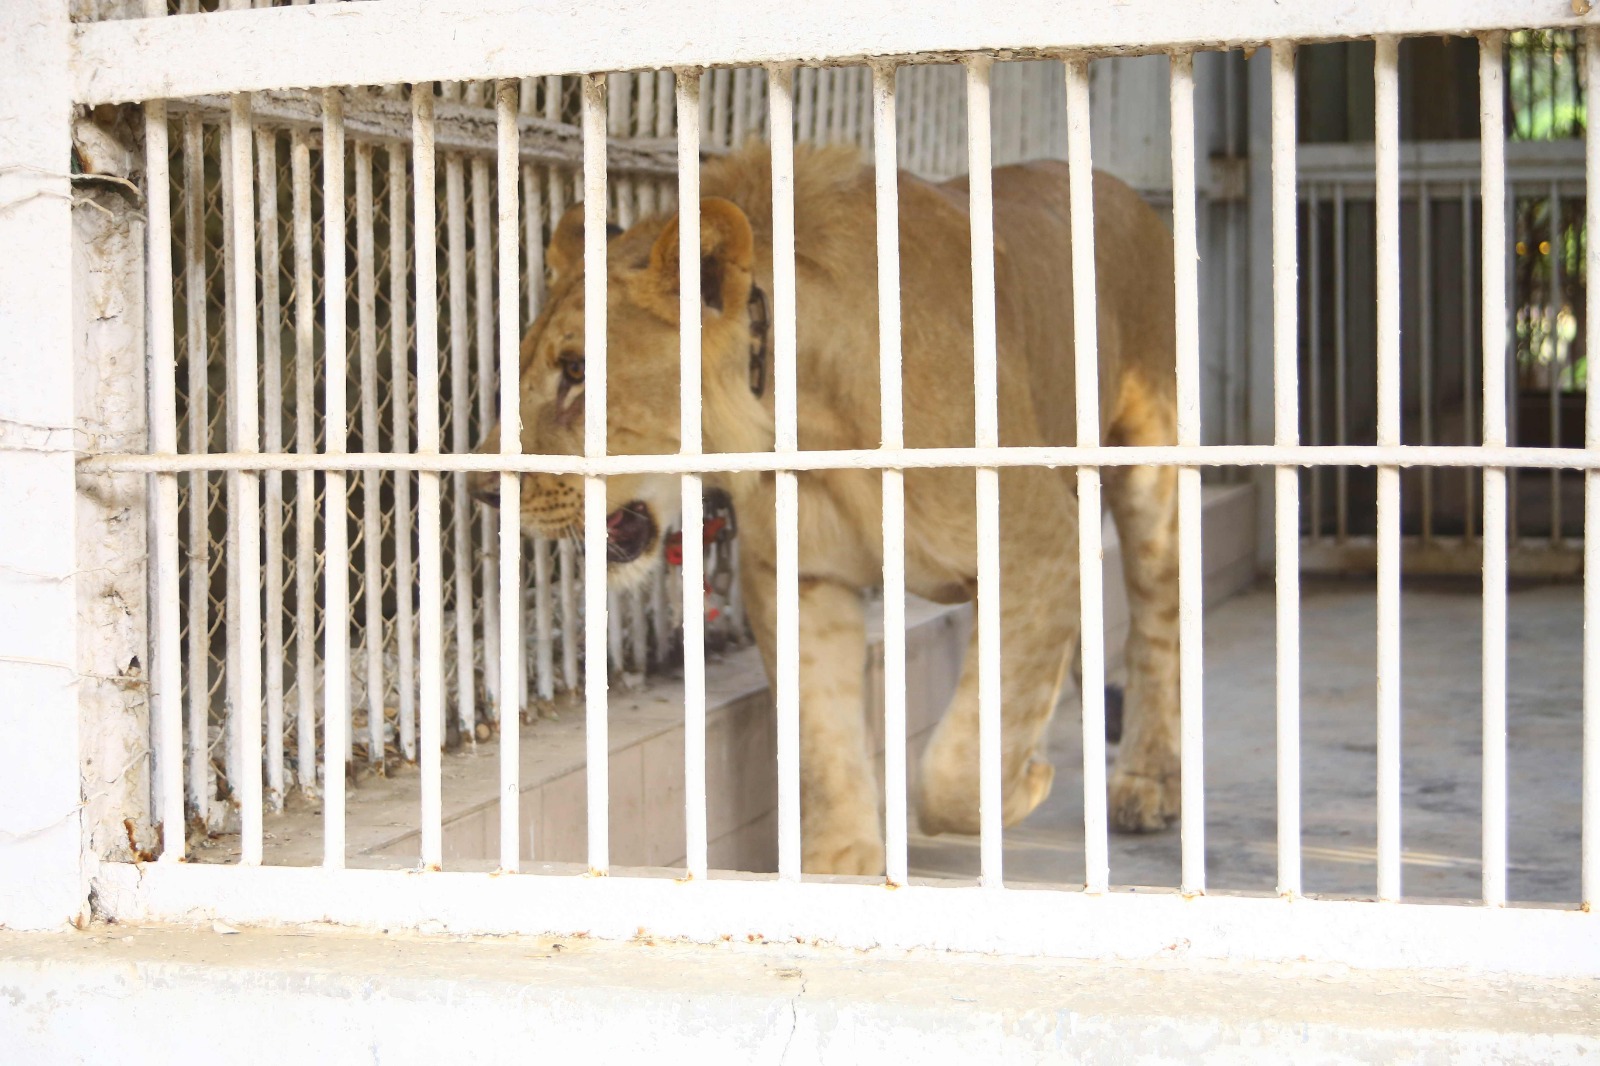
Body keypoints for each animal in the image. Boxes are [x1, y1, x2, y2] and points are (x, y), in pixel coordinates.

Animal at [469, 143, 1179, 877]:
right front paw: (840, 862)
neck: (807, 415)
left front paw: (1023, 784)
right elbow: (823, 727)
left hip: (1151, 460)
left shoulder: (1036, 544)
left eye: (577, 371)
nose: (483, 489)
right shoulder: (801, 577)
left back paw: (1145, 785)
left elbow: (956, 766)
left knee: (1158, 625)